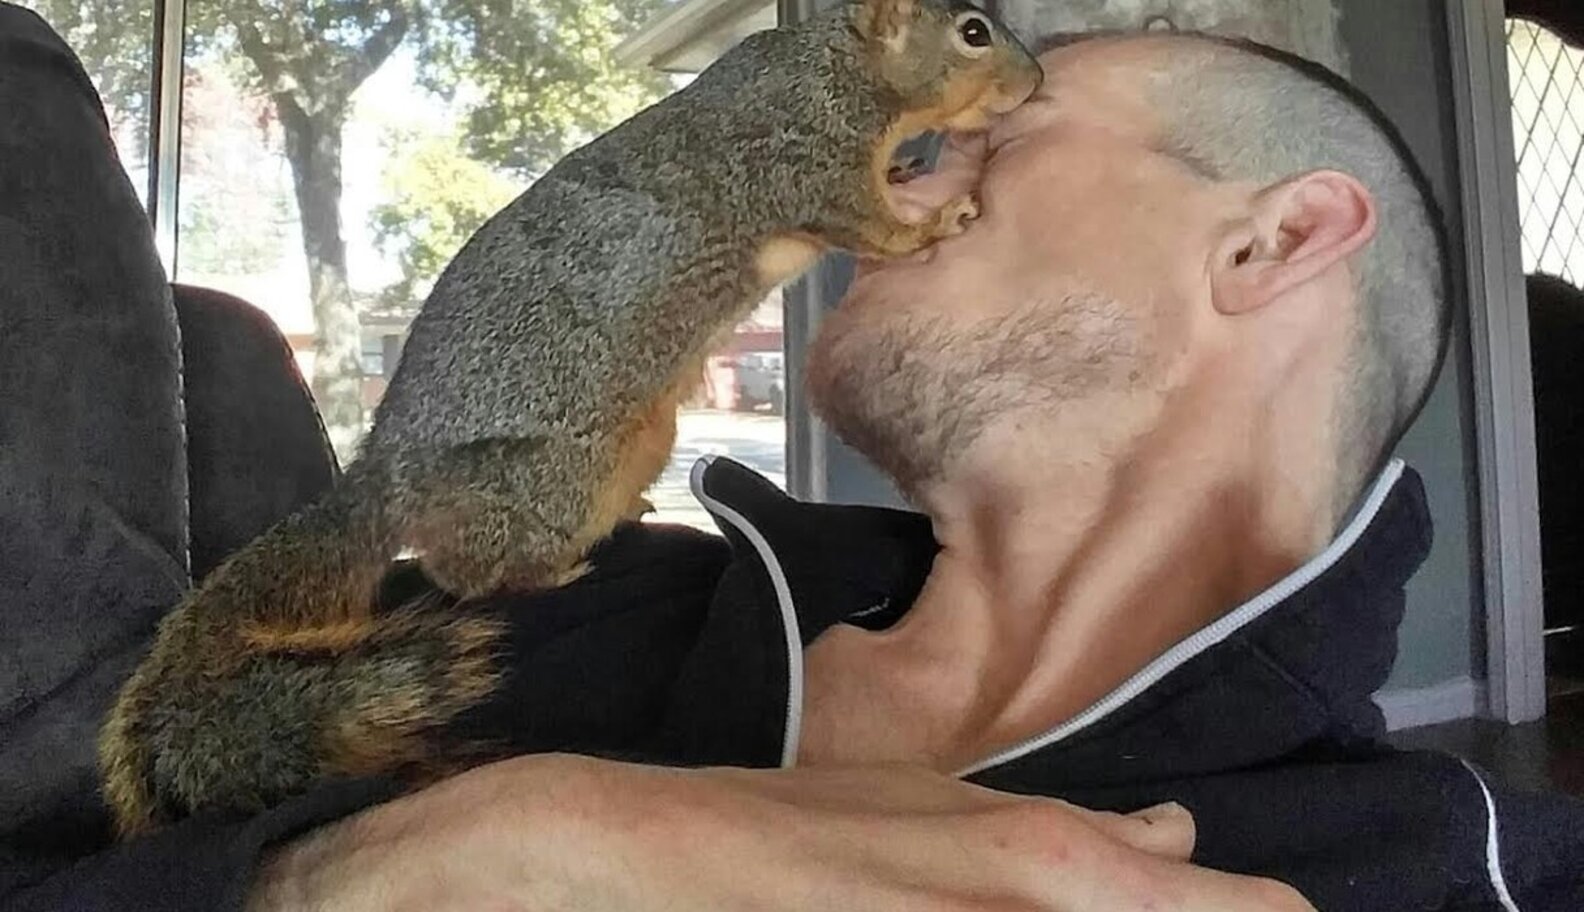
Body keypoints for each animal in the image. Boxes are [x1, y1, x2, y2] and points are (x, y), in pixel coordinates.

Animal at [98, 0, 1042, 836]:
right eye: (973, 31)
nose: (1034, 82)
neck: (840, 64)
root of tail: (388, 478)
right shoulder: (801, 156)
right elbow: (873, 225)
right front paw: (940, 215)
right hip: (549, 477)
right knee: (465, 568)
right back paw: (551, 570)